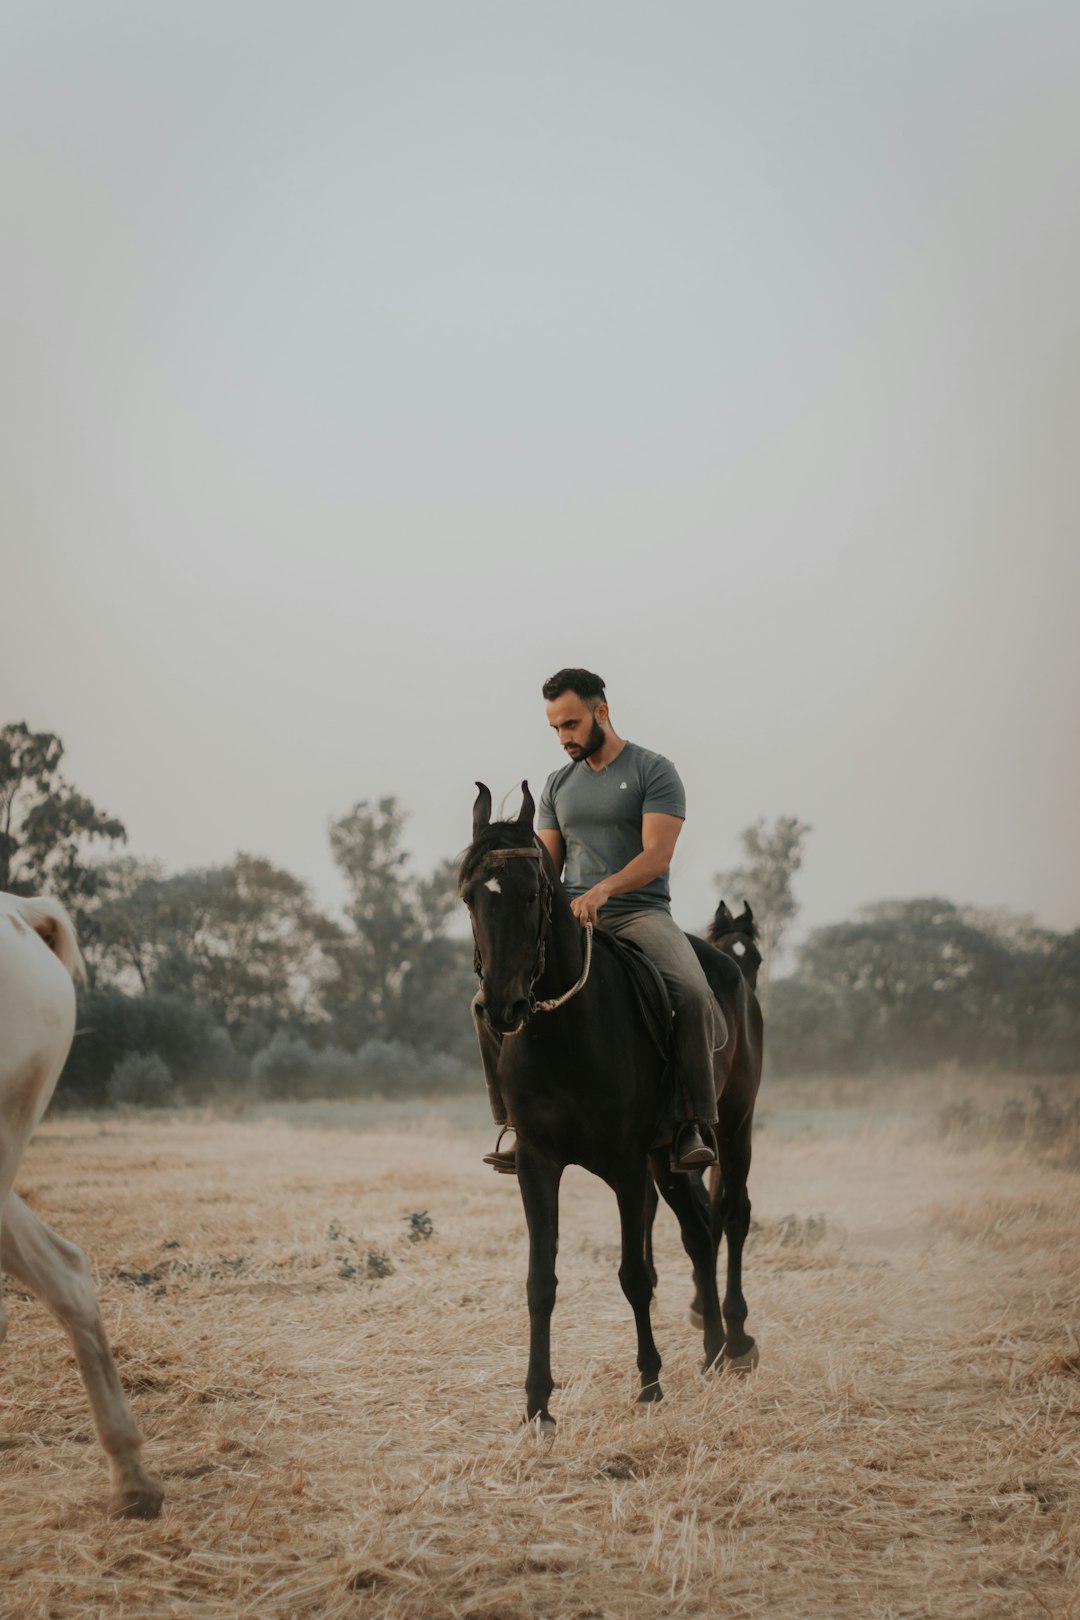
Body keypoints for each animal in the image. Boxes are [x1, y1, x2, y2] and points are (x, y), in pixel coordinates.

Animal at [463, 784, 761, 1432]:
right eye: (470, 896)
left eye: (532, 894)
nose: (501, 1008)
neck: (565, 1031)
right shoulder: (537, 1163)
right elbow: (540, 1281)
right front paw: (537, 1404)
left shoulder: (625, 1166)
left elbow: (634, 1274)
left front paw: (649, 1381)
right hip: (666, 1157)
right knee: (700, 1233)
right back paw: (713, 1349)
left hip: (733, 1127)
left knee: (732, 1217)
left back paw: (737, 1342)